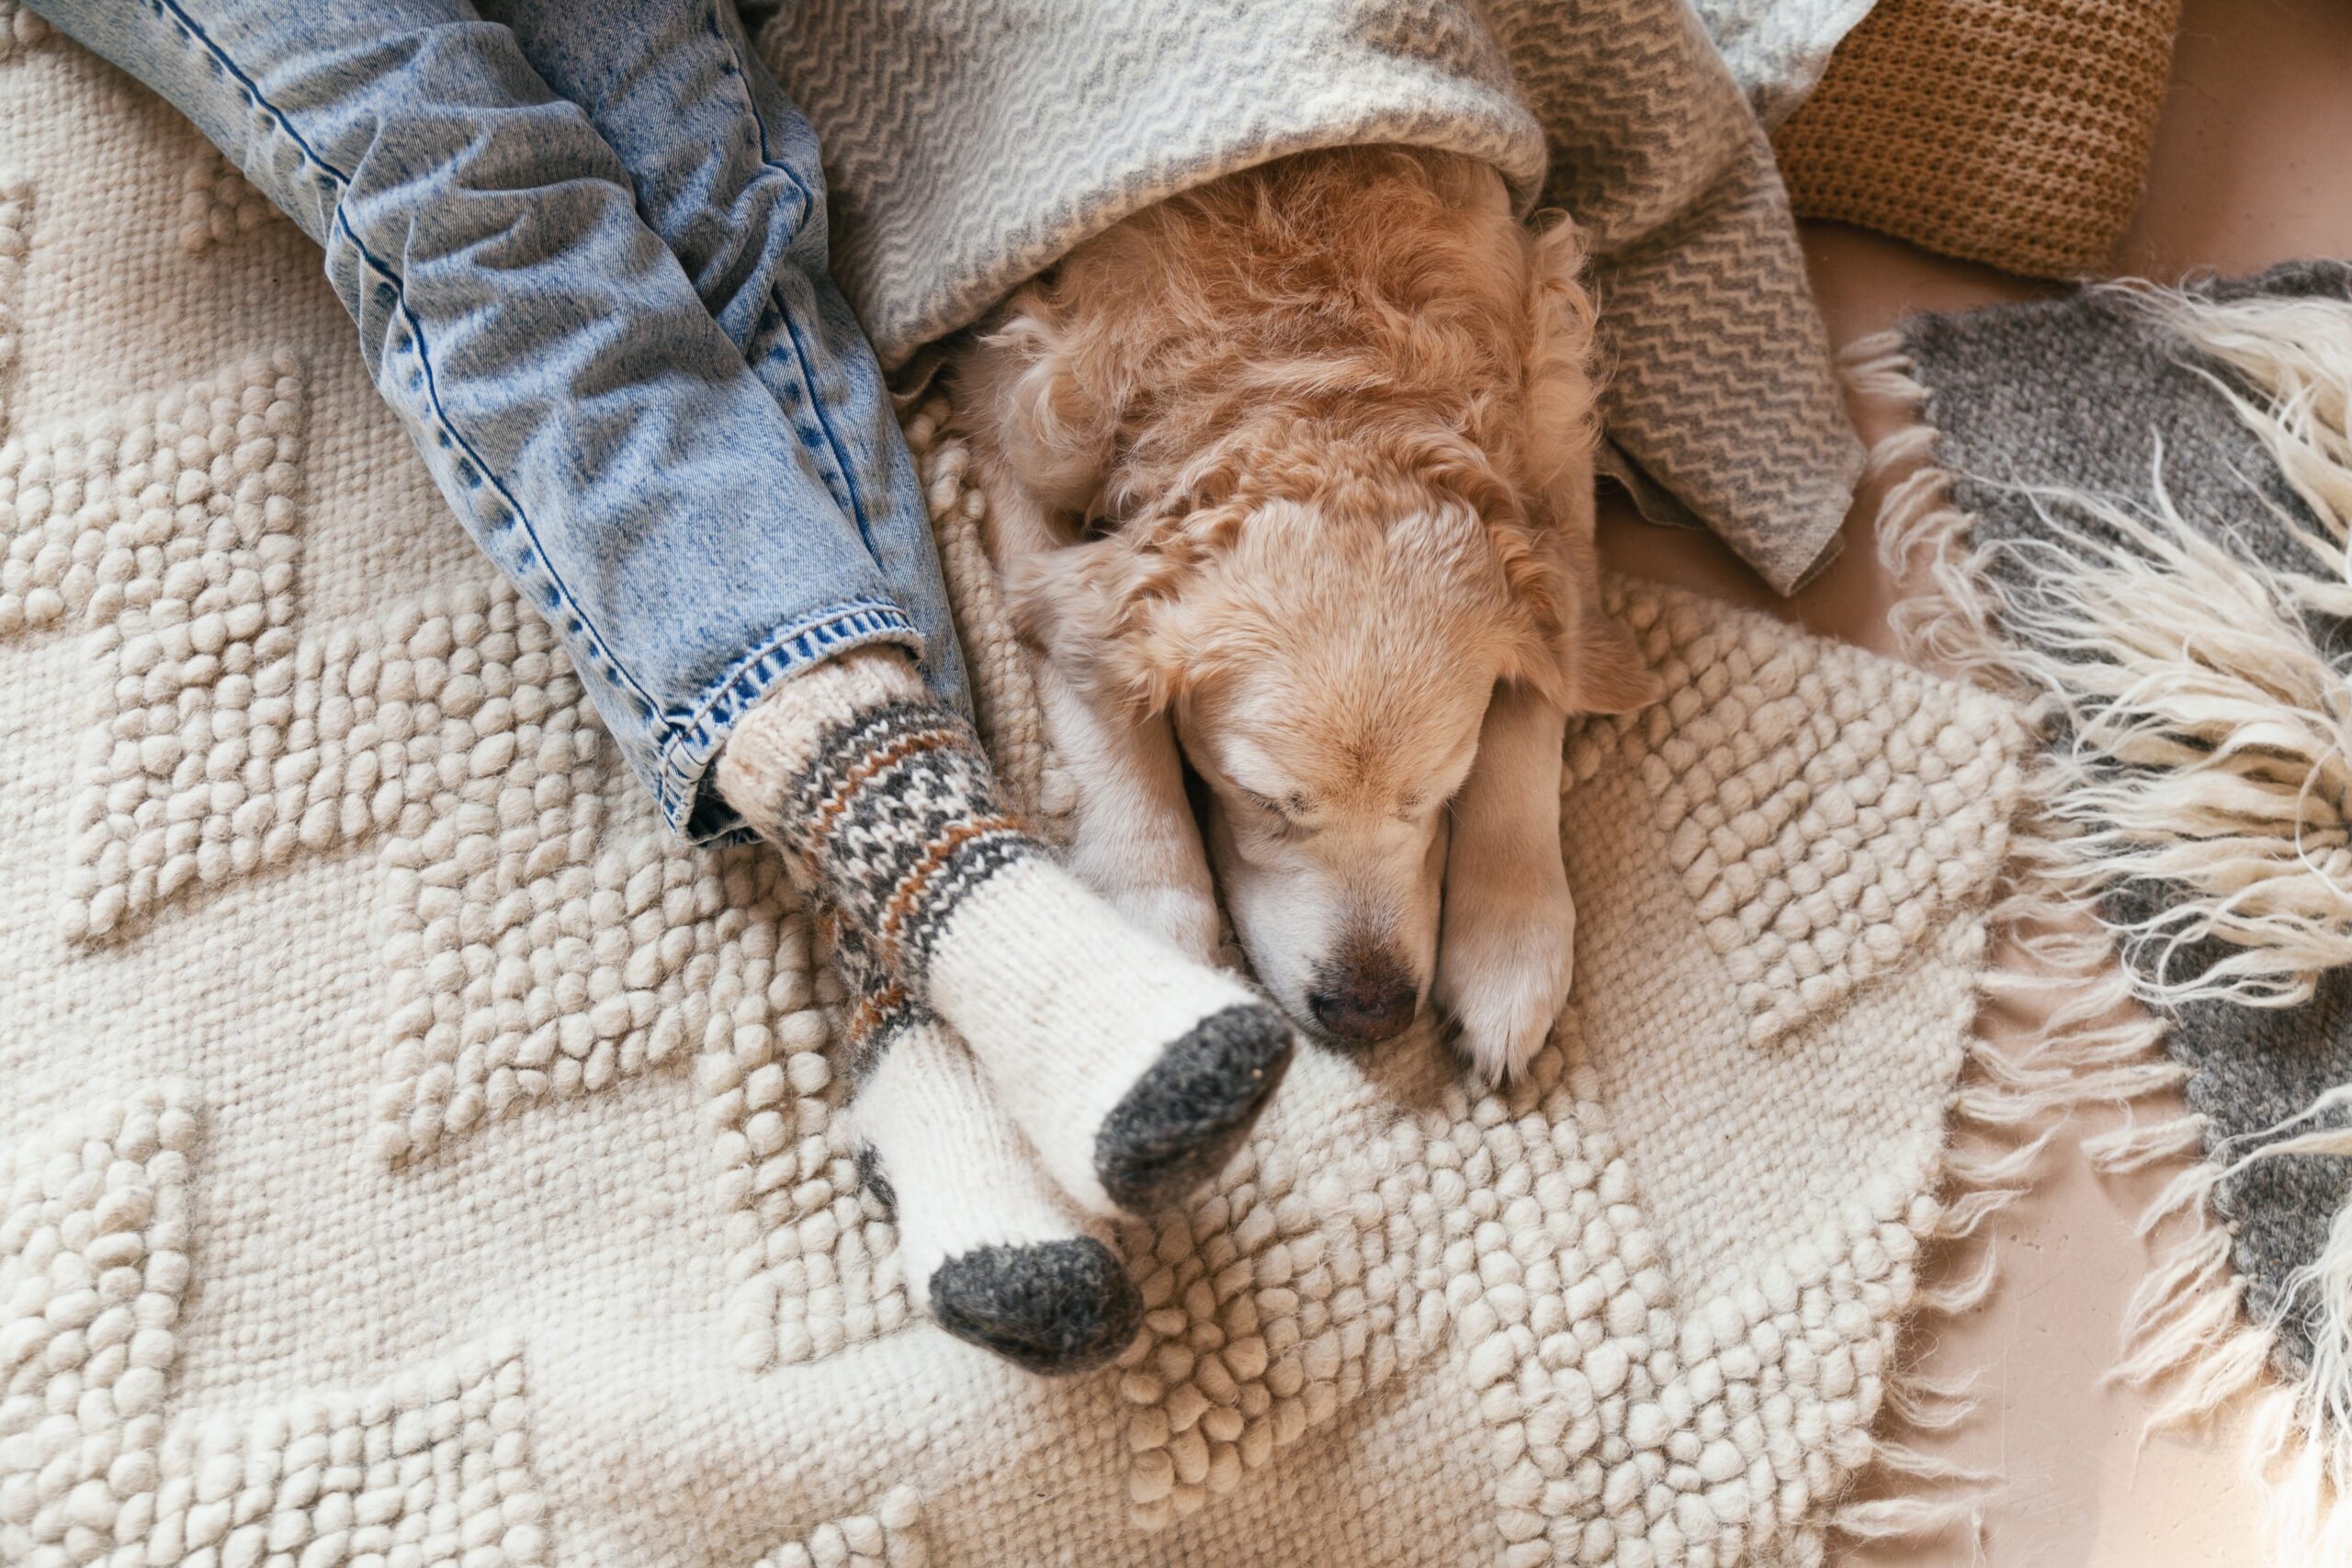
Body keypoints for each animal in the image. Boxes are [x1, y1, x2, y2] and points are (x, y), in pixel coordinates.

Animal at [935, 150, 1656, 1090]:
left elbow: (1540, 694)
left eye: (1437, 791)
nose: (1370, 1012)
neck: (1317, 359)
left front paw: (1510, 943)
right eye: (1262, 799)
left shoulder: (1553, 409)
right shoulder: (1009, 411)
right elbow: (1103, 706)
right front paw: (1147, 930)